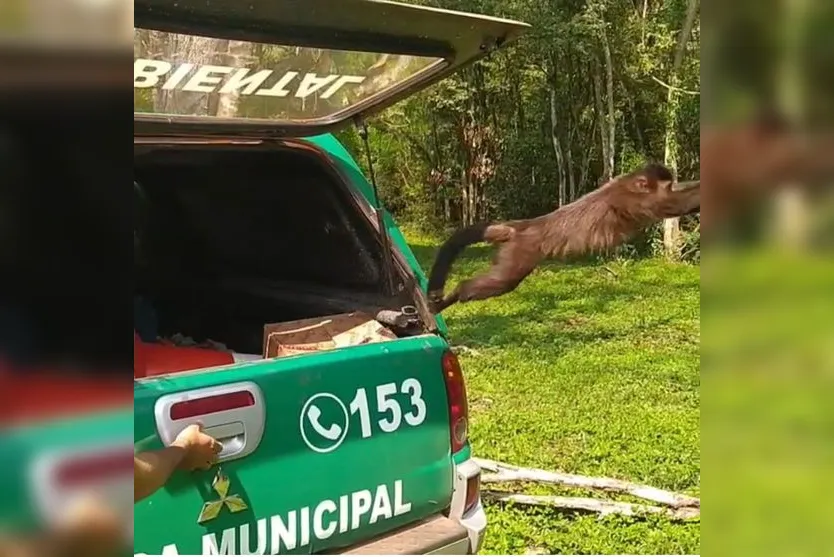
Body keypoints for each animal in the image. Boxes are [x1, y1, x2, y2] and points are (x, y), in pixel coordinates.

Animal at [426, 164, 700, 312]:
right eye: (666, 185)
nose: (672, 184)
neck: (629, 185)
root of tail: (523, 226)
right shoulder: (637, 201)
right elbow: (675, 204)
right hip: (521, 250)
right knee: (501, 282)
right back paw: (454, 294)